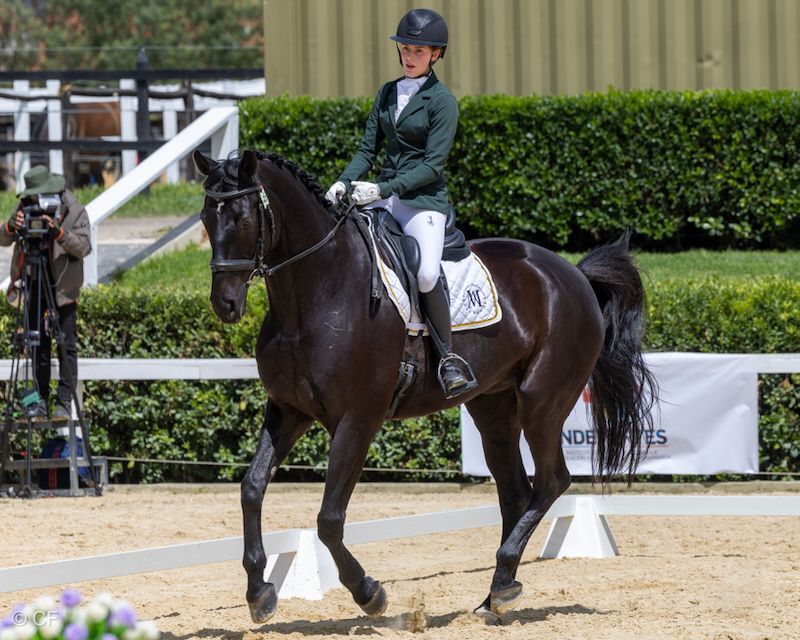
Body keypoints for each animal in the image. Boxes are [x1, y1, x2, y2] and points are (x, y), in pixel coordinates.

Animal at [192, 147, 657, 624]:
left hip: (542, 401)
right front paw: (259, 593)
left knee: (551, 483)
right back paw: (497, 592)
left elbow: (329, 518)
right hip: (494, 407)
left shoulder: (358, 420)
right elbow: (252, 488)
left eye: (243, 218)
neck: (317, 292)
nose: (225, 304)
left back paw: (503, 581)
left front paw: (369, 593)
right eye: (207, 217)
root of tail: (572, 274)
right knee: (516, 492)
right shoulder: (289, 411)